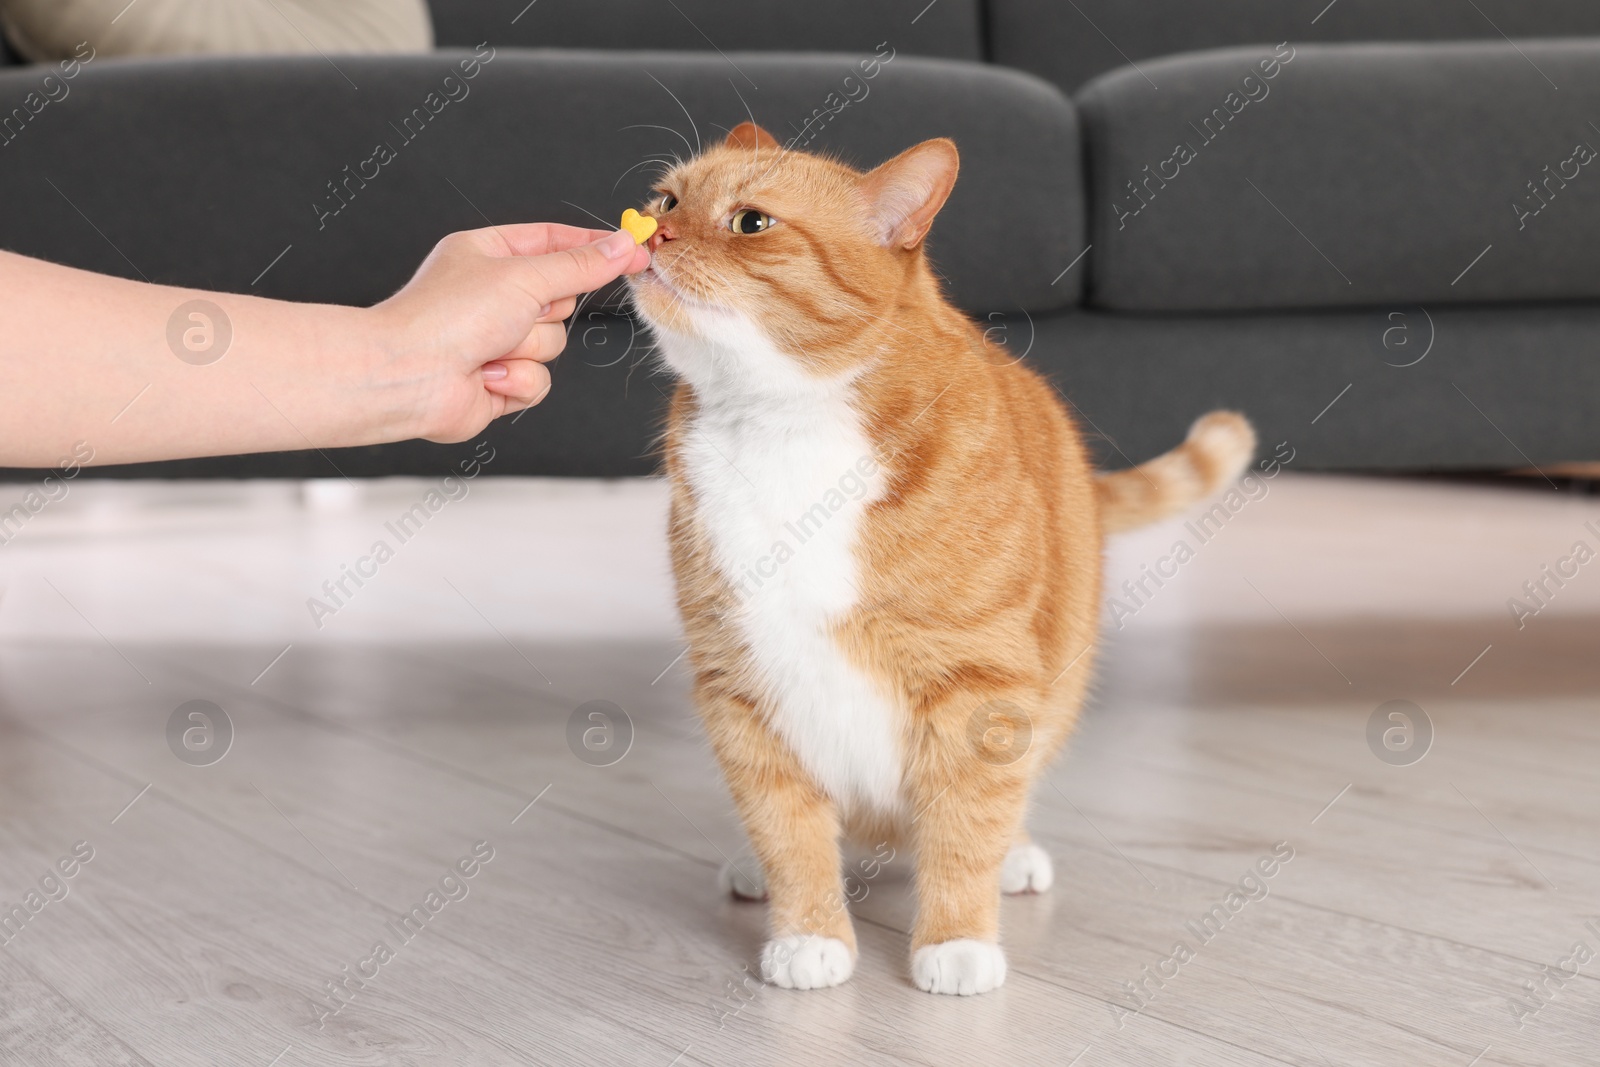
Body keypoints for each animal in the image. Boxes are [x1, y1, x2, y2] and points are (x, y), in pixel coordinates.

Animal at [624, 123, 1260, 991]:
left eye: (751, 222)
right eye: (666, 200)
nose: (651, 233)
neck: (784, 425)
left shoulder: (980, 686)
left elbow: (964, 824)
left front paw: (956, 939)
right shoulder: (739, 684)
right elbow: (788, 827)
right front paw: (809, 929)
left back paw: (1011, 859)